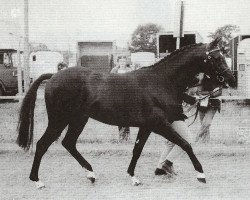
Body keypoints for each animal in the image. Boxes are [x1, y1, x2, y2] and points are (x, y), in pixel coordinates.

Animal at [16, 38, 235, 189]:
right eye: (215, 57)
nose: (232, 80)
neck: (161, 82)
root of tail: (53, 76)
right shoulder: (159, 124)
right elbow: (185, 144)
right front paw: (201, 175)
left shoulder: (147, 126)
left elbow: (137, 150)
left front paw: (134, 177)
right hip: (59, 120)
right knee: (42, 144)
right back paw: (37, 181)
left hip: (79, 119)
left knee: (68, 143)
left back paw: (91, 174)